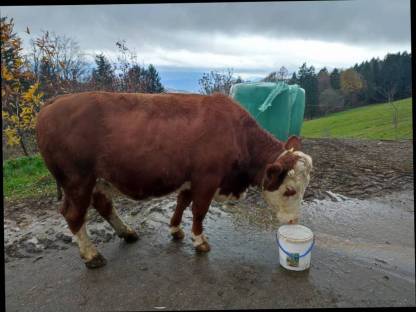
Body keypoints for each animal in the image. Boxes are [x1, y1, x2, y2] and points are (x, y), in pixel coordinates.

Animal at [36, 91, 312, 268]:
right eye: (289, 190)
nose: (293, 221)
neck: (236, 133)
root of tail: (54, 102)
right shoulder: (206, 179)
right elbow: (199, 211)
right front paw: (199, 240)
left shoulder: (189, 179)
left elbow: (182, 203)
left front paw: (176, 229)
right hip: (77, 180)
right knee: (73, 215)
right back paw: (91, 255)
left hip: (97, 180)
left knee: (103, 205)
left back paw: (127, 232)